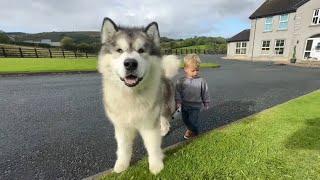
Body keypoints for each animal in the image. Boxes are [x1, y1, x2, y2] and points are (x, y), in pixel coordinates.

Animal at [98, 17, 180, 174]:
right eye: (119, 50)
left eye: (141, 50)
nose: (130, 63)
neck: (131, 95)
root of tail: (164, 74)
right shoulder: (122, 127)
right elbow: (123, 148)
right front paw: (121, 165)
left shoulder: (149, 124)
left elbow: (153, 147)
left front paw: (156, 166)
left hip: (165, 106)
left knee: (165, 119)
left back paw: (164, 129)